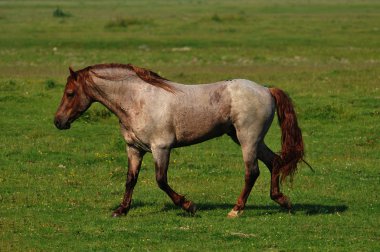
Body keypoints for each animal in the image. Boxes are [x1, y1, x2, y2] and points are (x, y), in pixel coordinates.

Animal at [53, 63, 304, 219]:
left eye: (70, 94)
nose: (58, 121)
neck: (137, 100)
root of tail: (266, 90)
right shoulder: (134, 149)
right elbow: (130, 180)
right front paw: (121, 210)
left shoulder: (161, 148)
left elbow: (161, 180)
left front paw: (189, 206)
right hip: (251, 140)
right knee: (274, 162)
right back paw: (283, 201)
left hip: (247, 140)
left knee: (252, 172)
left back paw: (236, 209)